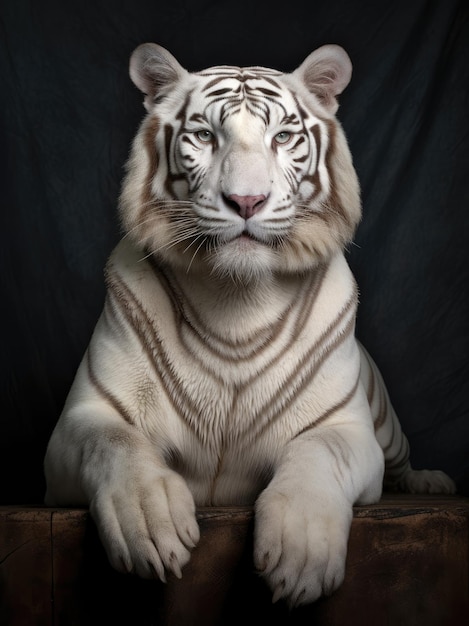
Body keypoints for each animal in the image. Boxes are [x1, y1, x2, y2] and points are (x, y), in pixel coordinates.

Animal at [44, 42, 454, 604]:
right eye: (204, 136)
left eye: (282, 136)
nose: (246, 201)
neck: (235, 299)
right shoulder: (82, 422)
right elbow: (114, 445)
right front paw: (147, 520)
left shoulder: (345, 429)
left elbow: (318, 452)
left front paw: (301, 550)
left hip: (386, 427)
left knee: (403, 462)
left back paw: (432, 481)